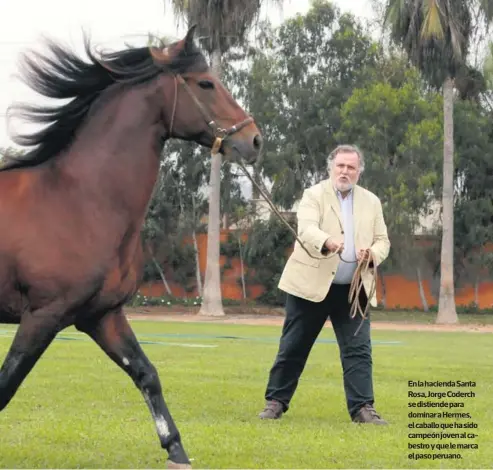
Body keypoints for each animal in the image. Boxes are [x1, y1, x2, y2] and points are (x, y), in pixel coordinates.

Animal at [0, 26, 262, 470]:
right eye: (205, 83)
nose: (254, 139)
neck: (79, 201)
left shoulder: (102, 316)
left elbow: (146, 373)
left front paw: (176, 451)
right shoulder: (41, 316)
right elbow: (7, 385)